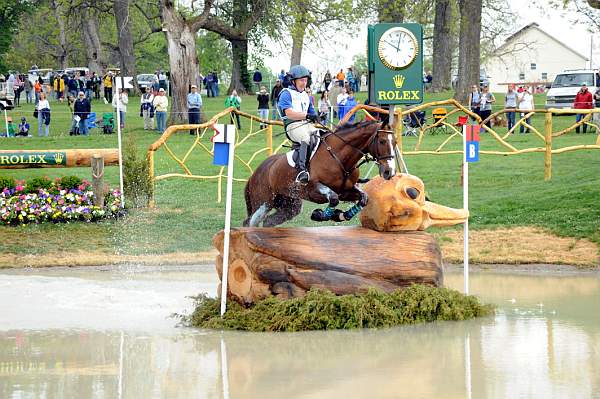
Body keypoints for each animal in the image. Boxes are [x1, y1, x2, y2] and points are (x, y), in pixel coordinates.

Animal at [241, 120, 396, 228]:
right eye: (382, 141)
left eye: (394, 142)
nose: (389, 172)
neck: (339, 158)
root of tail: (255, 174)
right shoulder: (315, 189)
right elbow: (333, 199)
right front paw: (320, 215)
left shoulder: (346, 191)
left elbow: (364, 198)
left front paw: (340, 215)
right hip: (263, 203)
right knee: (250, 222)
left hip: (289, 204)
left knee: (269, 221)